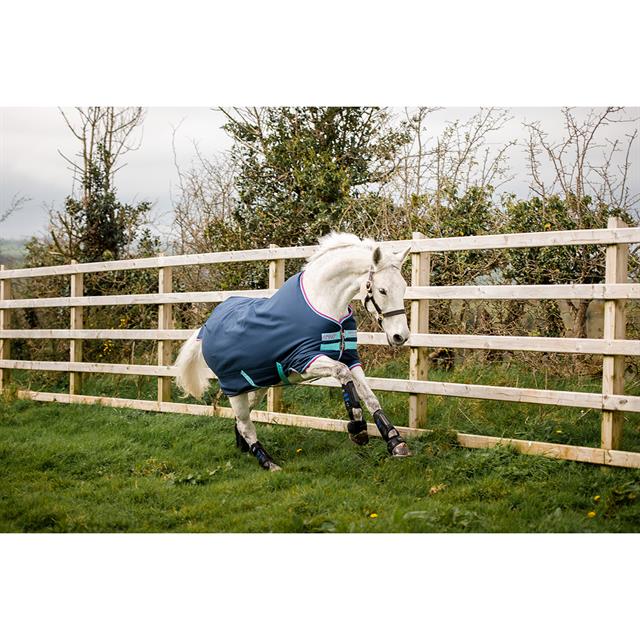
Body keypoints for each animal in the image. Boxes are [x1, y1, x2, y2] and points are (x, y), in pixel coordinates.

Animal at [173, 232, 412, 471]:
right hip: (233, 389)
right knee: (245, 424)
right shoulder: (306, 361)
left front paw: (395, 442)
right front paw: (358, 429)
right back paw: (268, 462)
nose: (400, 336)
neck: (324, 304)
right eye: (382, 290)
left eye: (403, 287)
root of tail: (205, 329)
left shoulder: (351, 359)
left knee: (244, 419)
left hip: (257, 385)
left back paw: (244, 447)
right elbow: (342, 374)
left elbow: (370, 397)